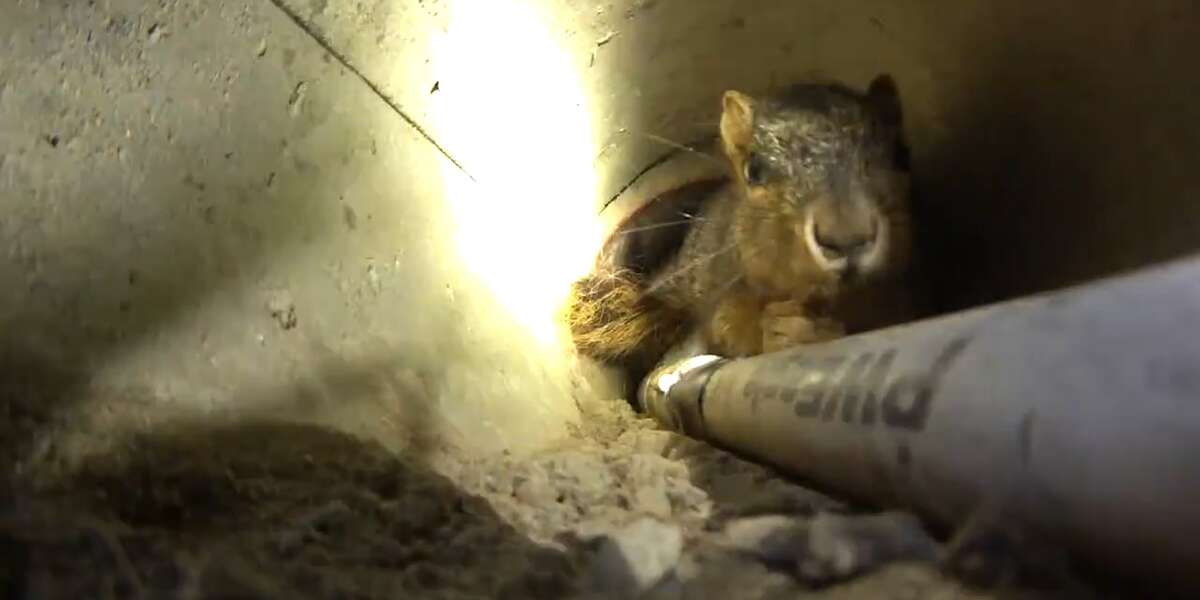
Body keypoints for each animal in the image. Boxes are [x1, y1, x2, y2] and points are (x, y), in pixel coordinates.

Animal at [567, 74, 919, 385]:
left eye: (901, 155)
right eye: (754, 170)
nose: (847, 237)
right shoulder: (718, 282)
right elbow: (728, 331)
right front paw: (782, 330)